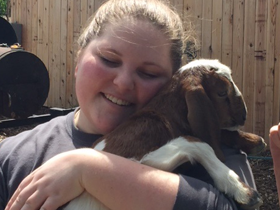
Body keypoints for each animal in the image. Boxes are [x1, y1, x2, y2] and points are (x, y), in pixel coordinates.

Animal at [64, 58, 266, 210]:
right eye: (222, 92)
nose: (244, 115)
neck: (164, 114)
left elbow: (211, 133)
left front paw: (254, 141)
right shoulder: (135, 160)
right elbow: (198, 142)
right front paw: (242, 190)